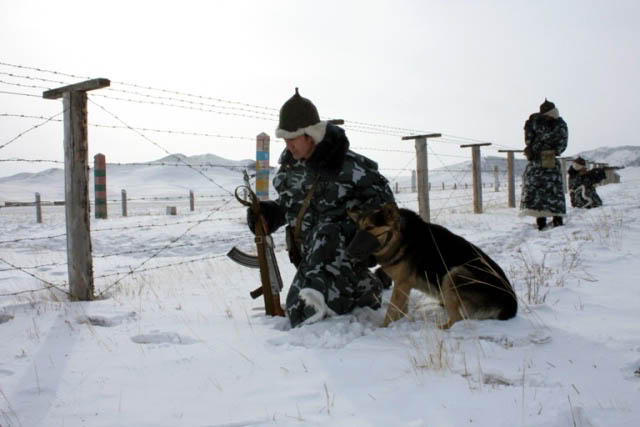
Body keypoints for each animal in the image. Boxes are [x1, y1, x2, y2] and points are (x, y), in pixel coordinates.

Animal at [348, 206, 516, 330]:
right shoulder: (404, 286)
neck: (400, 238)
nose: (349, 251)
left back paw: (440, 328)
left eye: (370, 228)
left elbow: (392, 309)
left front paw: (383, 328)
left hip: (453, 275)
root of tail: (511, 304)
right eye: (358, 229)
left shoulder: (402, 284)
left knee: (458, 318)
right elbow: (401, 309)